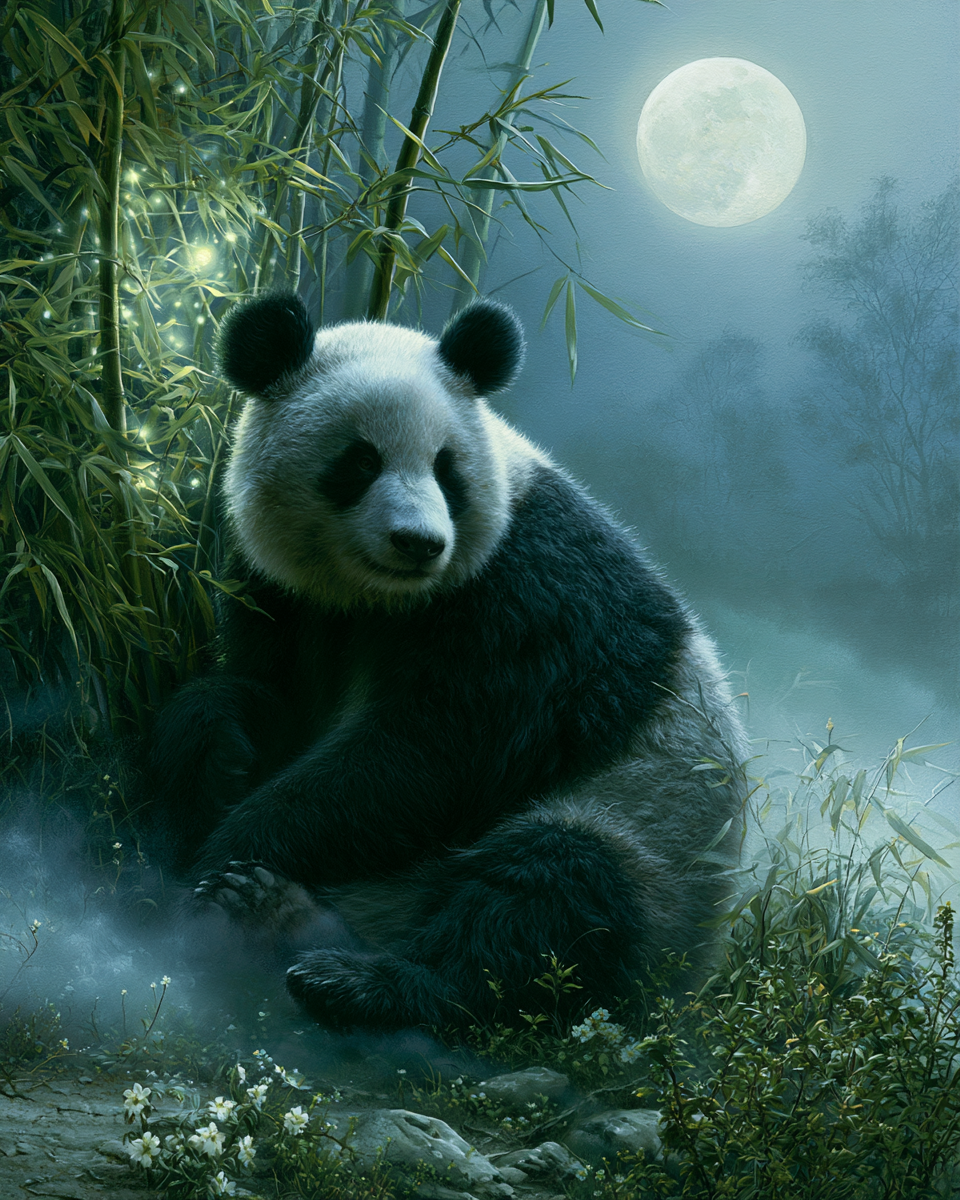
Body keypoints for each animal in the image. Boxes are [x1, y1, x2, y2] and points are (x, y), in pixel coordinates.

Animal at [149, 291, 747, 1031]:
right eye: (360, 462)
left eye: (446, 467)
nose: (419, 542)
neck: (379, 598)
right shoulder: (281, 594)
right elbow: (268, 695)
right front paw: (220, 757)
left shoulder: (525, 598)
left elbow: (430, 753)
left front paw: (229, 857)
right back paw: (285, 918)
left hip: (654, 839)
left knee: (552, 894)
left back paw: (353, 972)